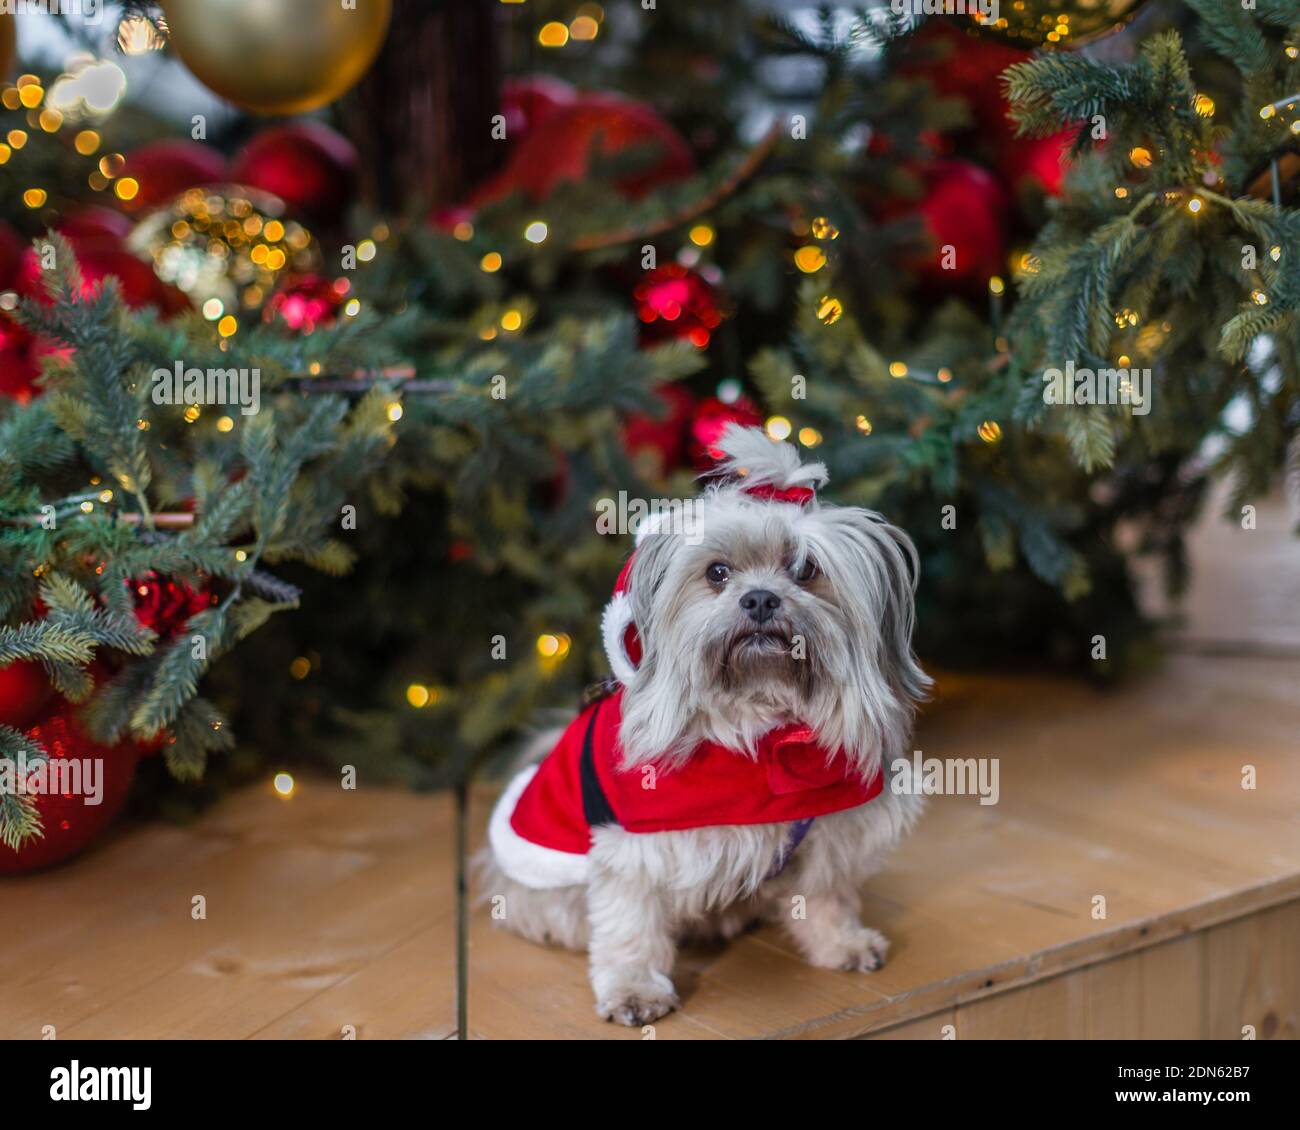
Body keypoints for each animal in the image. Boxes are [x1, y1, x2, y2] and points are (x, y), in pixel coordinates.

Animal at [483, 423, 930, 1024]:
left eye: (806, 569)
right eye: (717, 572)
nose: (761, 599)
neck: (761, 728)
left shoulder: (830, 832)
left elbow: (825, 895)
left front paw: (840, 943)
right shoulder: (634, 849)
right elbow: (630, 925)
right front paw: (634, 989)